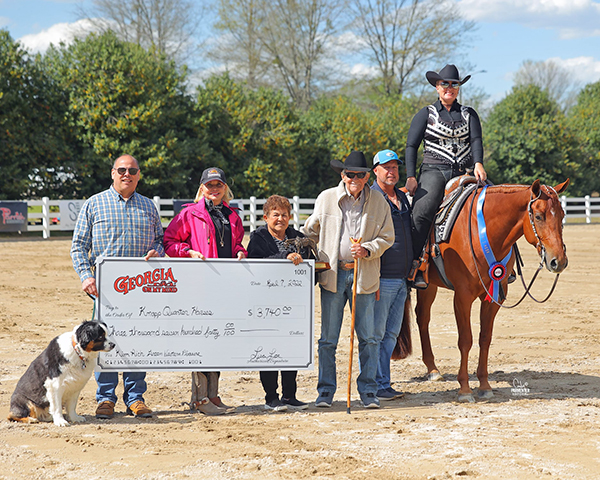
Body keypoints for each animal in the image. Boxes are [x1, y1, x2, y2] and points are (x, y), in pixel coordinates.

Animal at [410, 179, 568, 402]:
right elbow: (465, 340)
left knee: (422, 317)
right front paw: (465, 389)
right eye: (538, 216)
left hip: (429, 285)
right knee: (420, 318)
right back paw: (431, 371)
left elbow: (485, 338)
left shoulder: (494, 297)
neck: (482, 232)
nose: (558, 261)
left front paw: (484, 385)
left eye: (562, 215)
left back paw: (432, 369)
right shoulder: (462, 297)